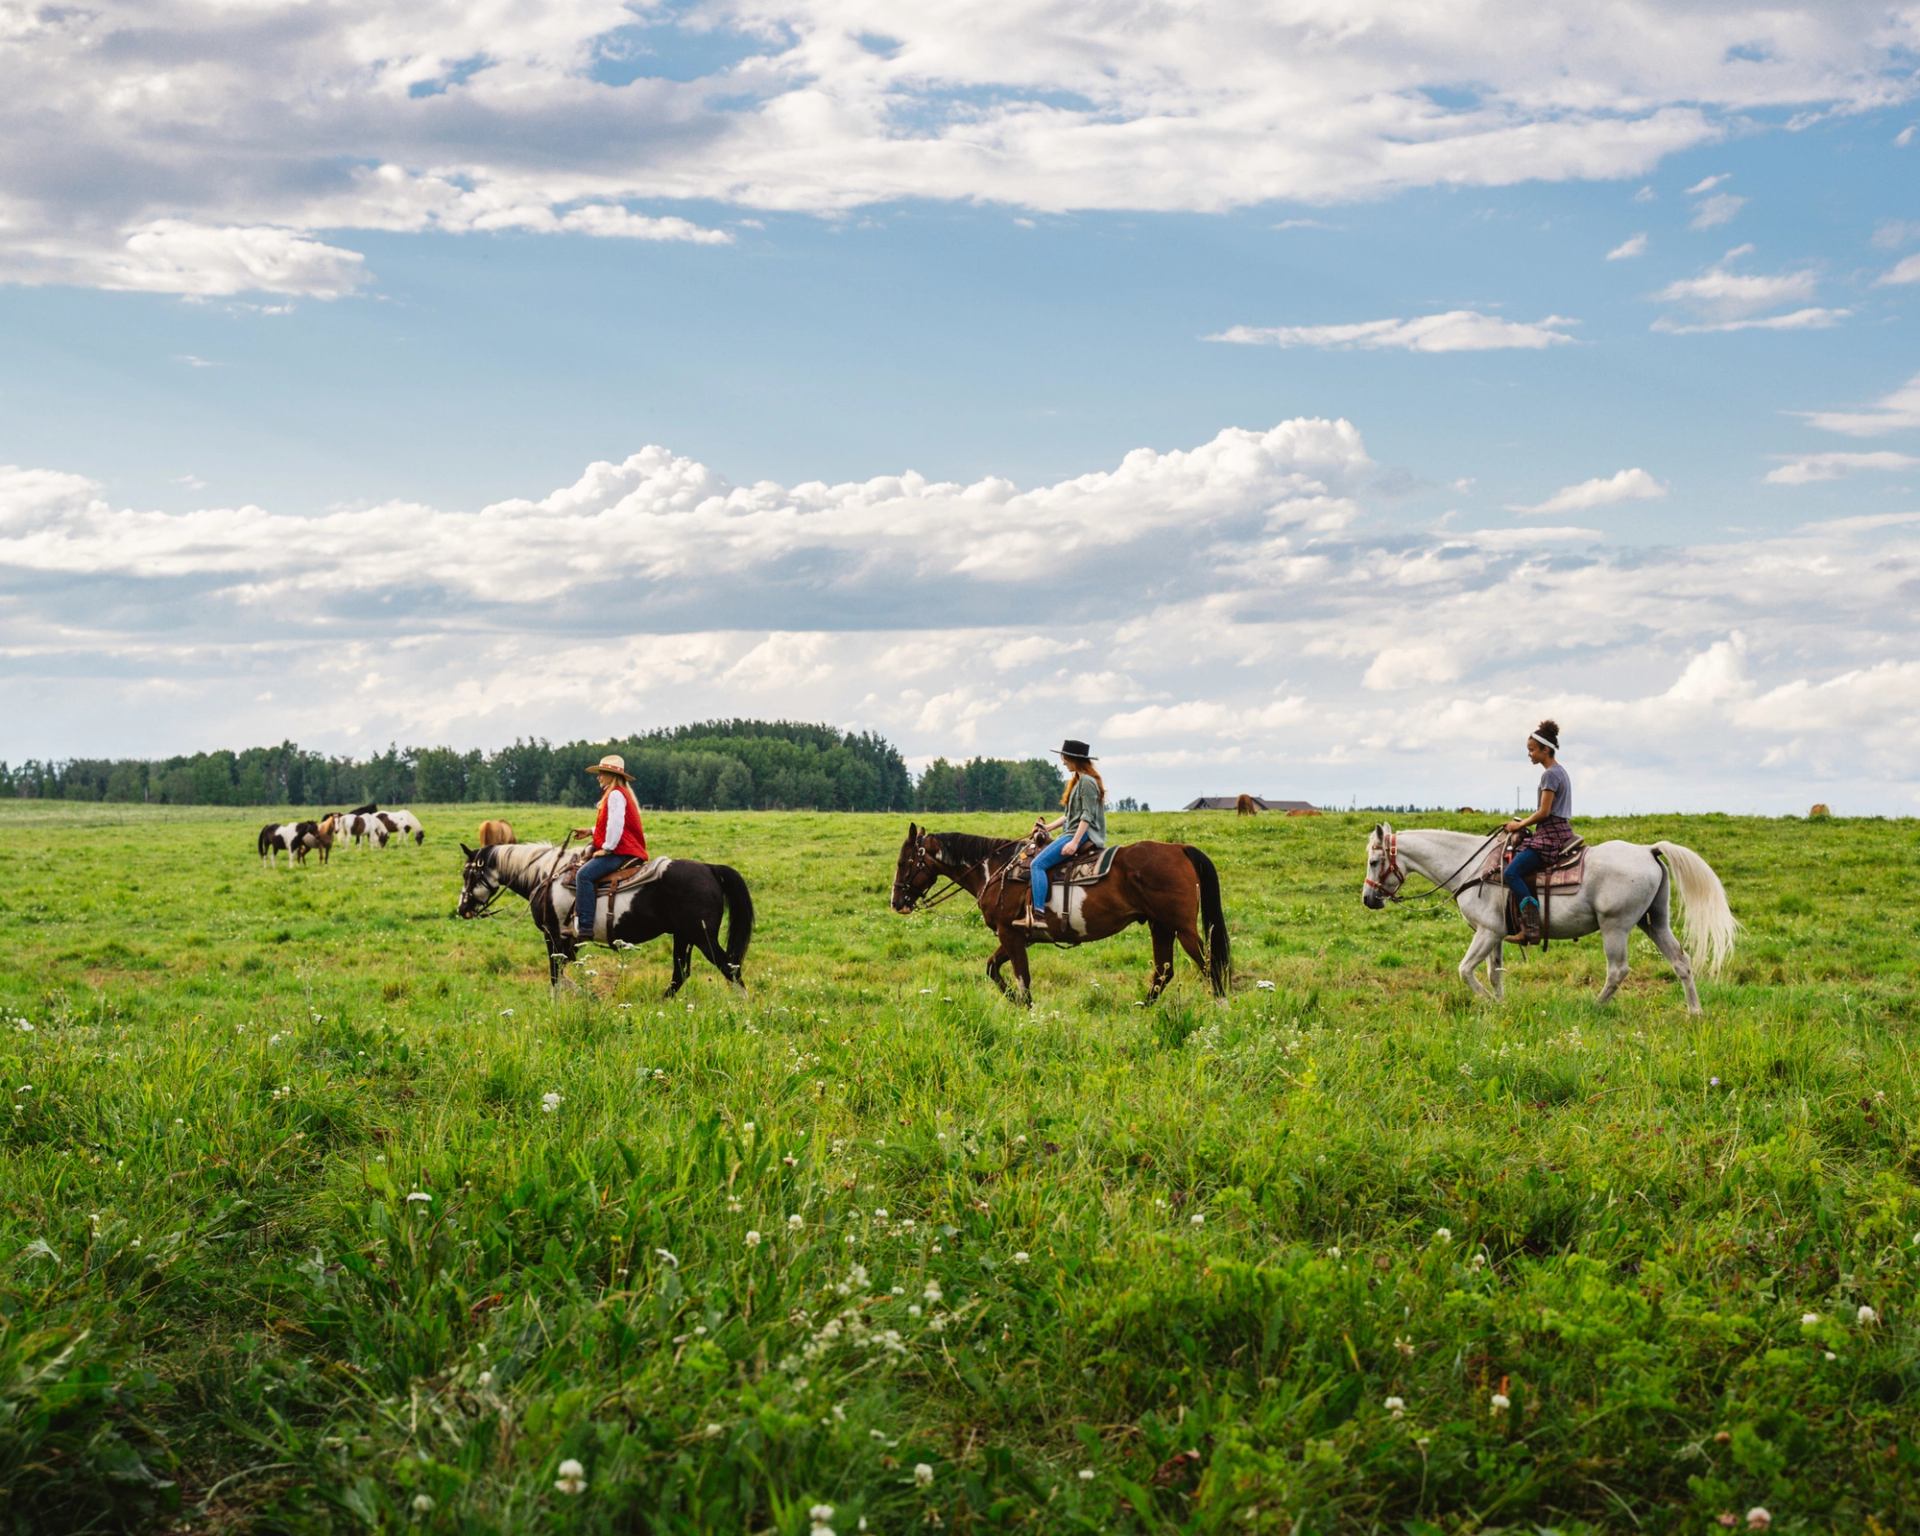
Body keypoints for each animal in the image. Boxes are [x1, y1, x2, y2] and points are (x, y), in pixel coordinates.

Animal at [894, 821, 1236, 998]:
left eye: (904, 861)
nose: (896, 902)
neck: (995, 870)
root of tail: (1179, 848)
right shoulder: (1017, 936)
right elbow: (992, 968)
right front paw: (1012, 1001)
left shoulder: (1010, 935)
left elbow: (1023, 980)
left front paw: (1027, 1014)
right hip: (1160, 926)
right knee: (1163, 972)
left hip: (1183, 928)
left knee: (1210, 966)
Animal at [1367, 821, 1743, 1013]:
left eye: (1373, 861)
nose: (1368, 899)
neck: (1473, 868)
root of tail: (1647, 850)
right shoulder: (1496, 934)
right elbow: (1494, 972)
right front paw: (1500, 1005)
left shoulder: (1486, 932)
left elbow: (1465, 970)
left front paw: (1488, 1002)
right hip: (1654, 921)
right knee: (1681, 961)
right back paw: (1694, 1012)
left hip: (1616, 926)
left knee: (1618, 970)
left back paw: (1595, 1007)